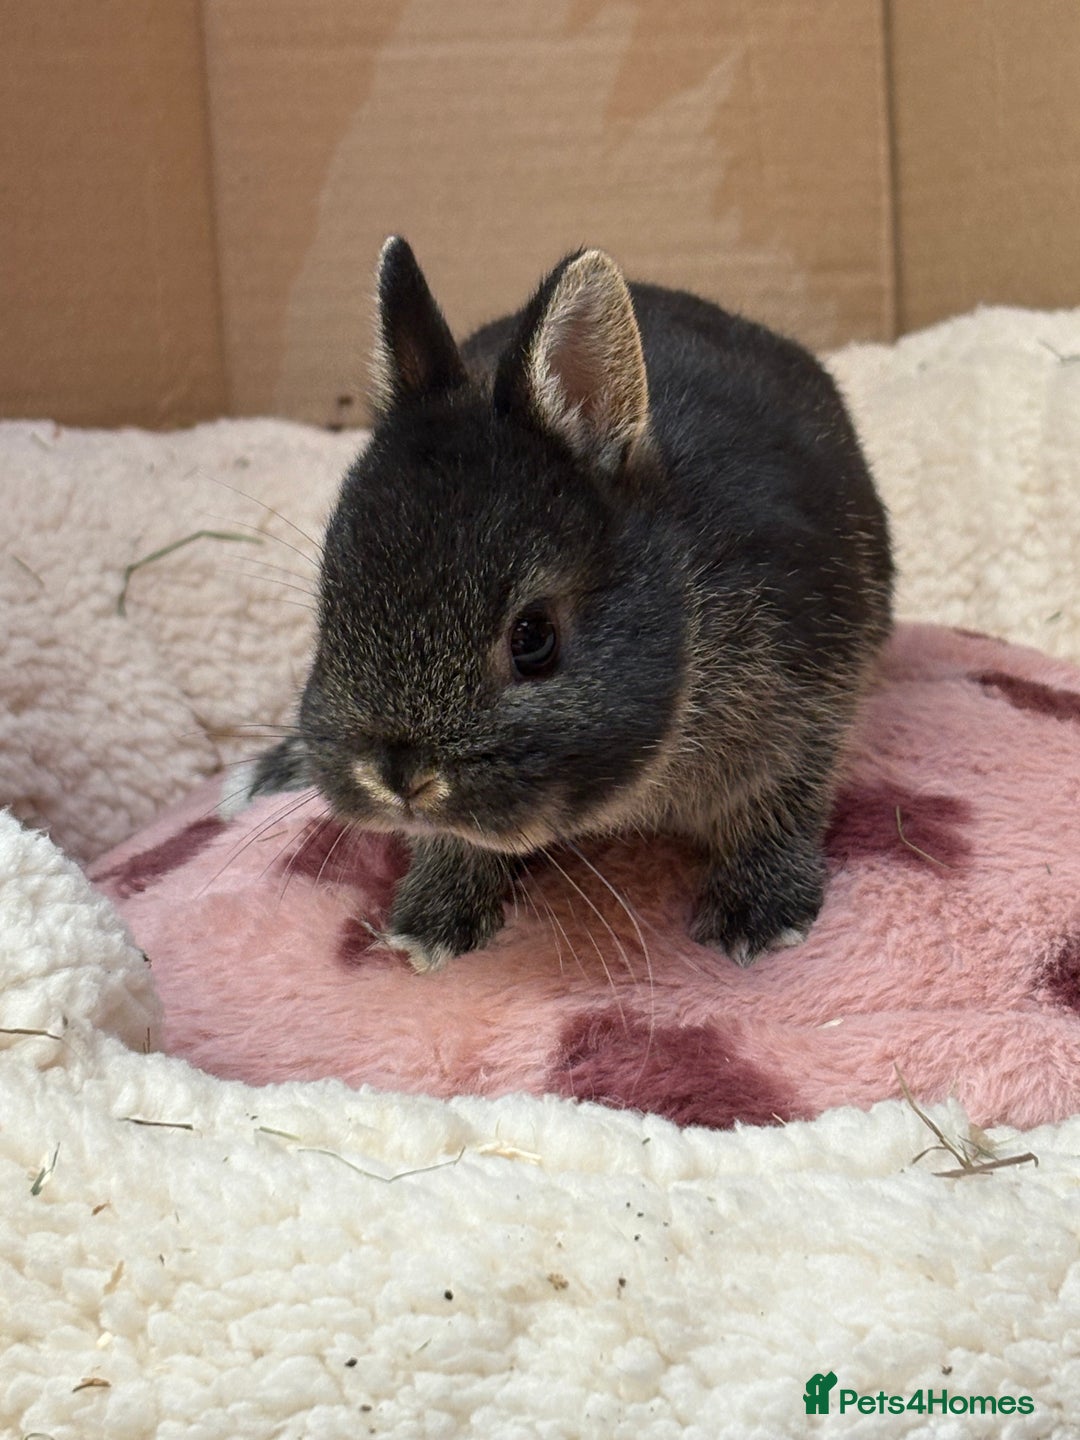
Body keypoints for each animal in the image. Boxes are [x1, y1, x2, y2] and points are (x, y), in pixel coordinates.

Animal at [244, 236, 893, 972]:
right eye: (331, 610)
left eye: (533, 638)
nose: (399, 778)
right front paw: (430, 924)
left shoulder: (806, 708)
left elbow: (780, 807)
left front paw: (756, 919)